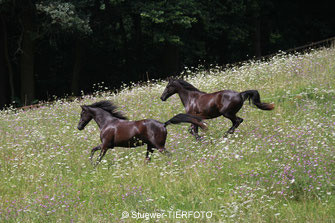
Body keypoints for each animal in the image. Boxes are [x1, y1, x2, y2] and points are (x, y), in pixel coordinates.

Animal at [77, 100, 207, 165]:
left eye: (82, 113)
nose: (79, 127)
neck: (107, 123)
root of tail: (163, 124)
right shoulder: (105, 145)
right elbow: (93, 150)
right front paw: (90, 163)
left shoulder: (105, 145)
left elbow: (98, 156)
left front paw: (93, 166)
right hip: (150, 146)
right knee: (148, 159)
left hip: (159, 146)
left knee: (169, 155)